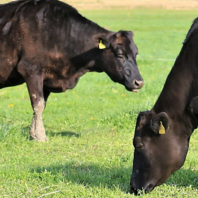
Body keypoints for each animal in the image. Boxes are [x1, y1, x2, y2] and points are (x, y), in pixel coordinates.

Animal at [0, 0, 143, 142]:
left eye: (136, 53)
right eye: (120, 54)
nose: (139, 82)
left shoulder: (47, 79)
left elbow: (41, 105)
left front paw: (33, 134)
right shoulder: (31, 70)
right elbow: (38, 104)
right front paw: (40, 136)